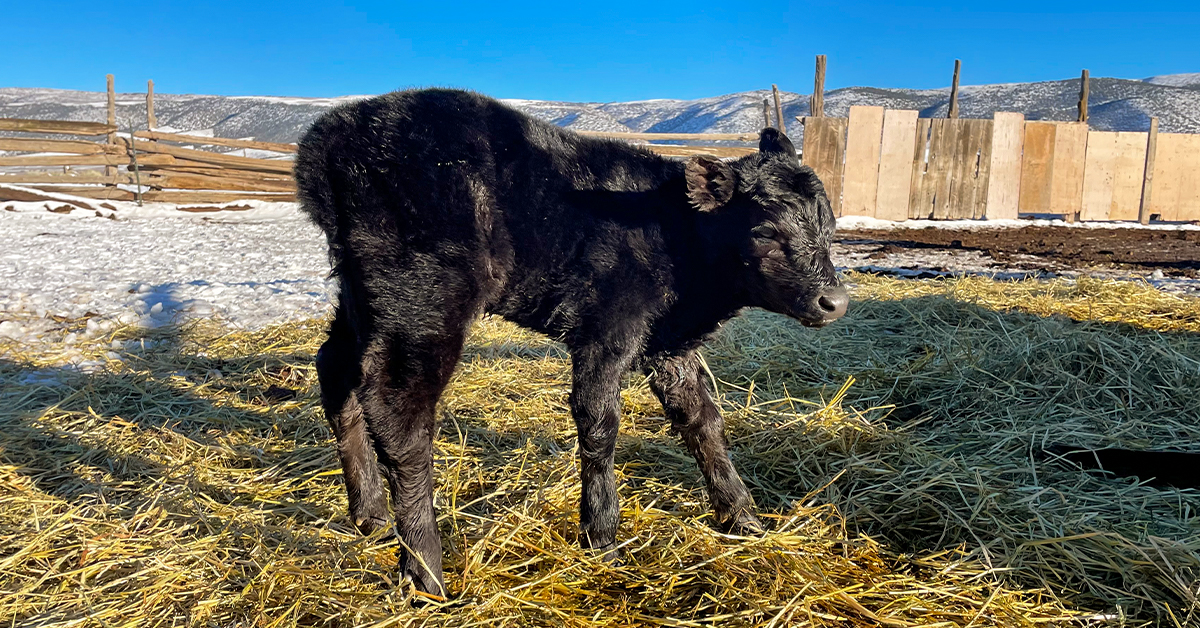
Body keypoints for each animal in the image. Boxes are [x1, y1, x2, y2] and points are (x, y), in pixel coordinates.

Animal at [294, 88, 849, 595]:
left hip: (362, 294)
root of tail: (335, 133)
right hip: (421, 295)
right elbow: (600, 423)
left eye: (829, 224)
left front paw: (742, 518)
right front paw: (602, 536)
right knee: (398, 410)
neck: (674, 234)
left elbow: (703, 420)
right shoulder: (606, 330)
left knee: (336, 369)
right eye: (766, 232)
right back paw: (426, 571)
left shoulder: (668, 344)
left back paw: (369, 513)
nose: (834, 301)